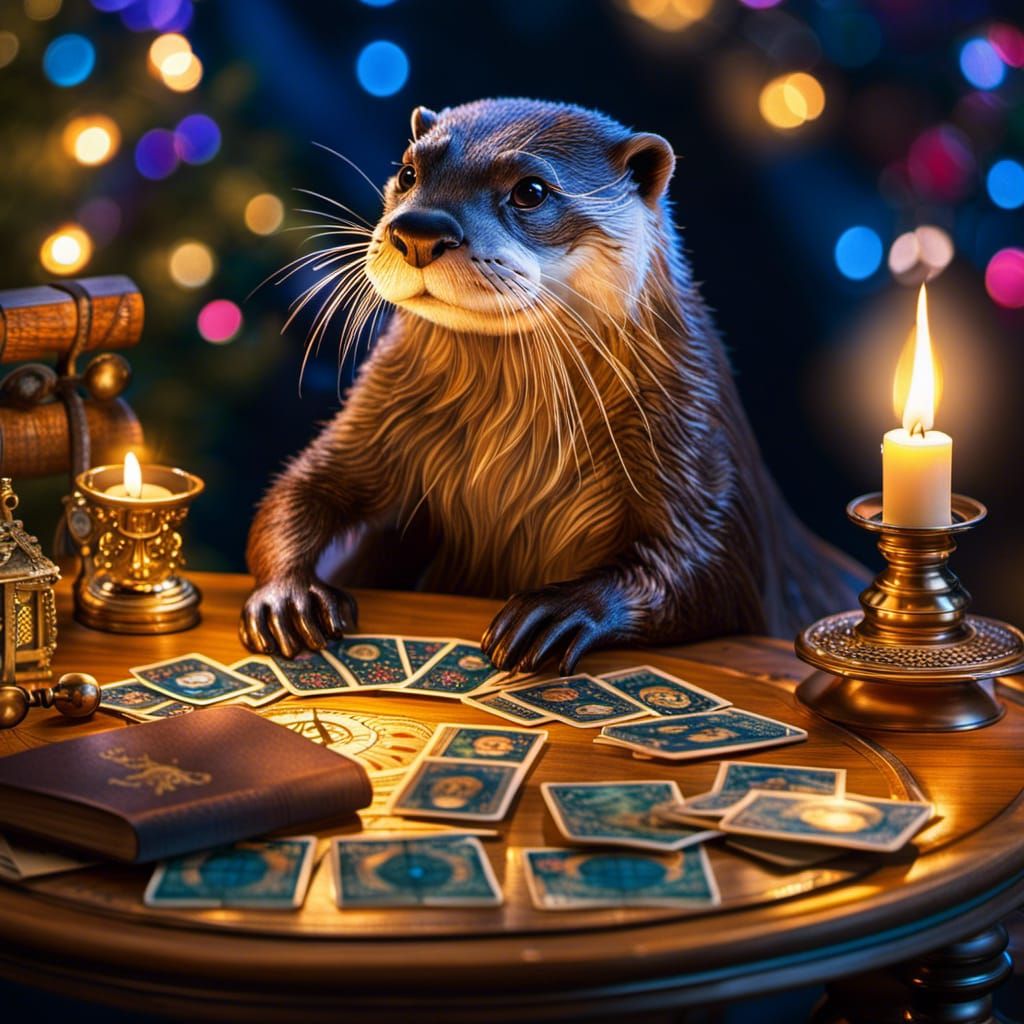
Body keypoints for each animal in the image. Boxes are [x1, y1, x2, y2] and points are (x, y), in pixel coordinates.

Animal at [240, 98, 862, 671]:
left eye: (531, 191)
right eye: (410, 172)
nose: (419, 230)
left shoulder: (698, 448)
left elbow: (706, 571)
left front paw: (558, 611)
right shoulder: (375, 423)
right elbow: (300, 489)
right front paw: (287, 597)